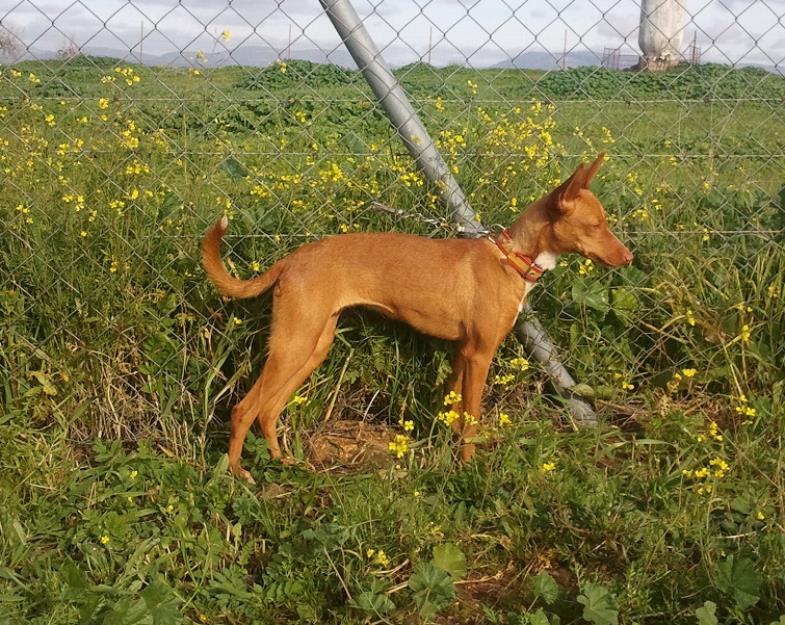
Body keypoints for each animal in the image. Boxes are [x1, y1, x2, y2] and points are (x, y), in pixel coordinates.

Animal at [202, 152, 632, 478]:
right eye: (596, 225)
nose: (629, 258)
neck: (510, 260)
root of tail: (292, 258)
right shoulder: (480, 355)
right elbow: (472, 418)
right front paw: (469, 470)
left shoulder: (461, 353)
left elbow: (456, 415)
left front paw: (451, 458)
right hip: (292, 345)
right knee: (244, 409)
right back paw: (238, 474)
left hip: (312, 347)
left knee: (268, 411)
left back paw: (284, 462)